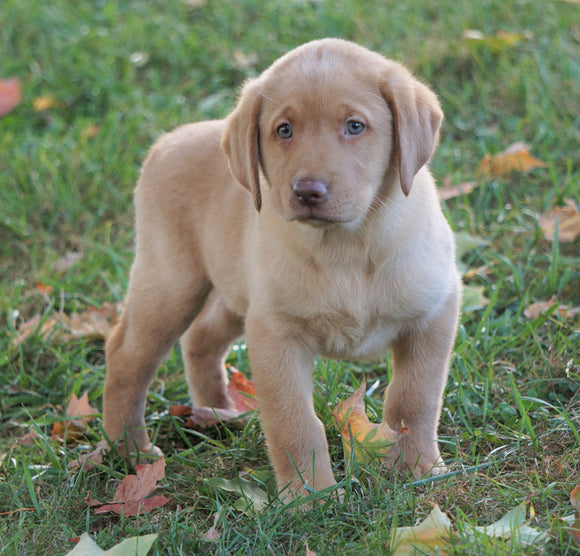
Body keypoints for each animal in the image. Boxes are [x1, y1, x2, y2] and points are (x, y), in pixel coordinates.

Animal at [102, 40, 460, 500]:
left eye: (355, 126)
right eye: (284, 130)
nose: (308, 192)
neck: (346, 246)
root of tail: (168, 139)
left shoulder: (433, 313)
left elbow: (414, 399)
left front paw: (419, 469)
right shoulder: (276, 334)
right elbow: (295, 424)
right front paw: (312, 497)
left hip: (233, 292)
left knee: (200, 338)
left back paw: (218, 414)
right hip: (172, 284)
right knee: (125, 355)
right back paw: (130, 451)